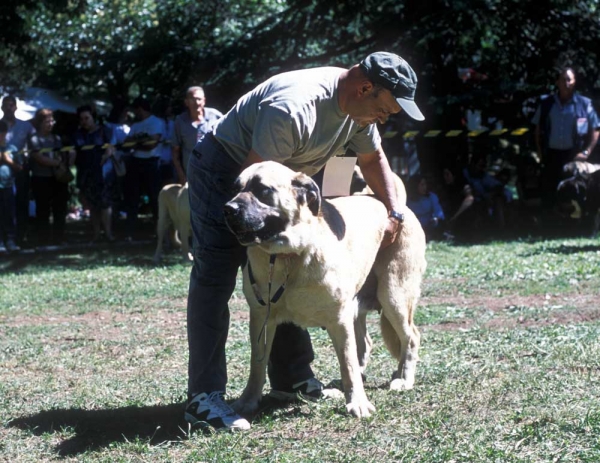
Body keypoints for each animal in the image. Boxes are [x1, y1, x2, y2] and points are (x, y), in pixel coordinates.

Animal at [224, 163, 426, 420]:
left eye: (262, 190)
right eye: (235, 189)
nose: (228, 209)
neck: (287, 257)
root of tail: (398, 206)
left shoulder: (338, 318)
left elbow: (347, 361)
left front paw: (358, 403)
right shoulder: (261, 318)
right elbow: (256, 366)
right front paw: (248, 402)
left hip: (393, 296)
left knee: (410, 336)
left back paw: (404, 379)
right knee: (366, 343)